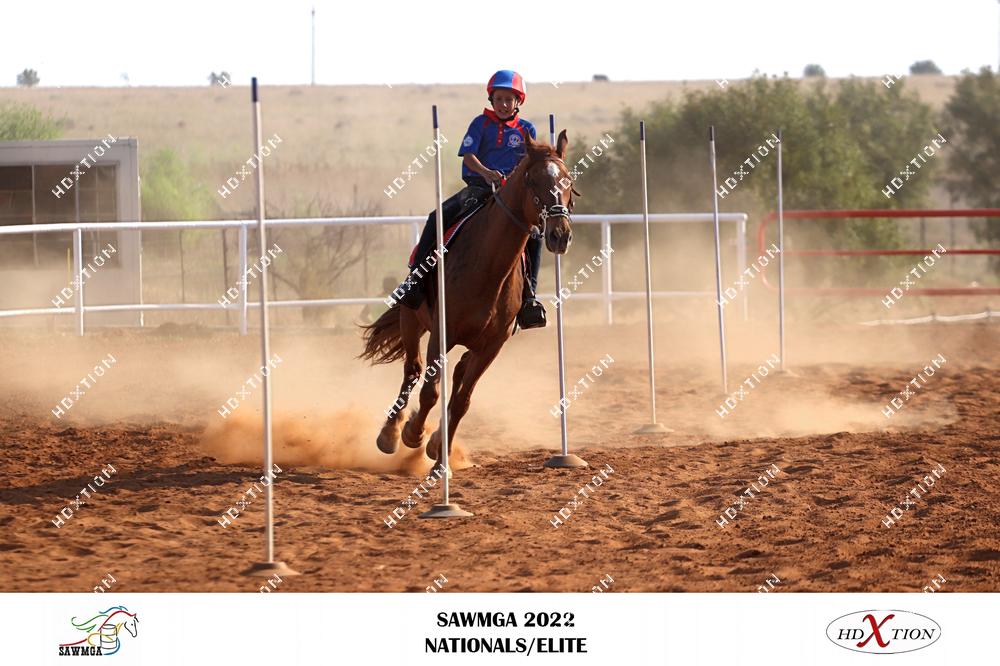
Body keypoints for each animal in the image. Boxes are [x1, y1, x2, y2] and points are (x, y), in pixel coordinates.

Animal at [360, 130, 576, 468]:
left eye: (567, 180)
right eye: (533, 180)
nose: (560, 234)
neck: (488, 270)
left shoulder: (492, 346)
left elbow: (462, 400)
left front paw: (440, 458)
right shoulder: (442, 333)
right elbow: (430, 391)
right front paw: (412, 433)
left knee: (458, 370)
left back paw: (436, 442)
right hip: (412, 319)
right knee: (413, 369)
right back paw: (391, 434)